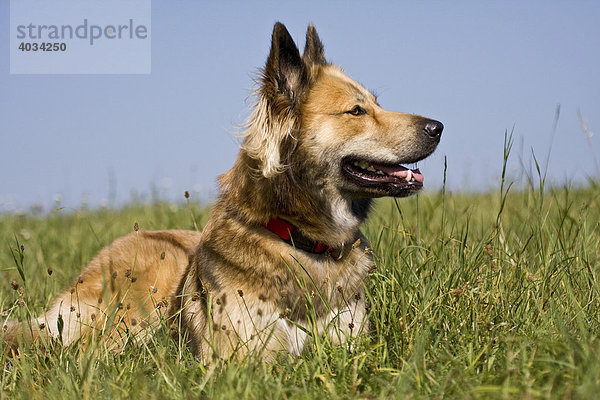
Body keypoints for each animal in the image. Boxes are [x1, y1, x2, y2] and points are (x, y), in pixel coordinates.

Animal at [2, 22, 442, 362]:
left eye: (376, 104)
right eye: (356, 111)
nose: (438, 126)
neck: (300, 239)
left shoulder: (349, 345)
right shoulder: (241, 359)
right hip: (134, 308)